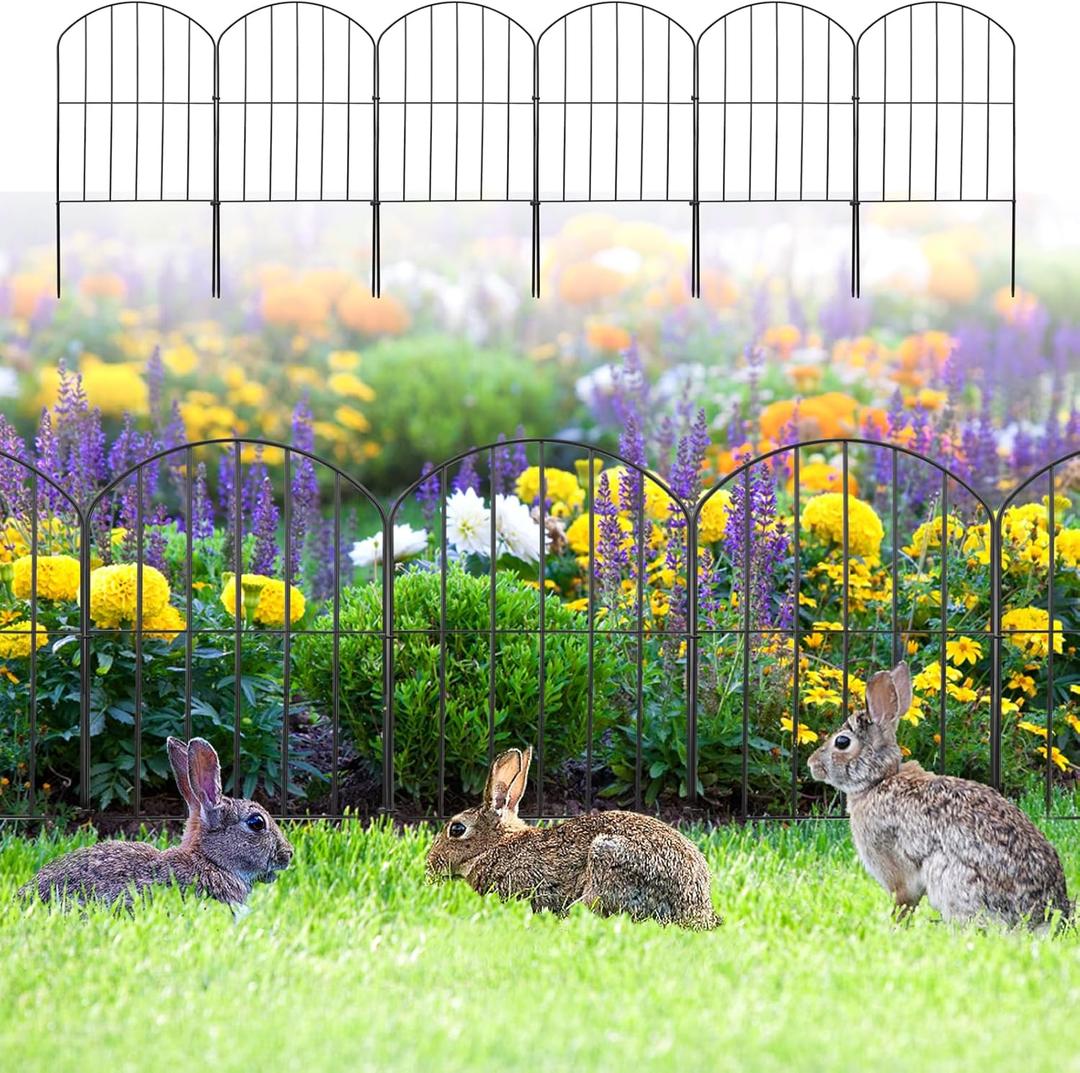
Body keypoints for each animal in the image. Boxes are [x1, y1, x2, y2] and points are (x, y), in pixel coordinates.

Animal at [808, 661, 1070, 929]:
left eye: (842, 742)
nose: (812, 764)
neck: (878, 779)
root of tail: (1044, 919)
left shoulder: (896, 867)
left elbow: (904, 902)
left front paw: (893, 926)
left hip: (951, 876)